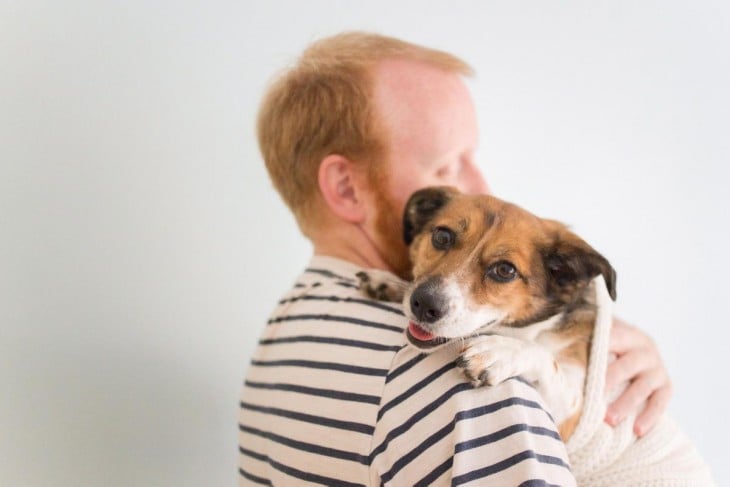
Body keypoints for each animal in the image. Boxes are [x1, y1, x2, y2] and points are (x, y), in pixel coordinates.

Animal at [358, 185, 616, 440]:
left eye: (504, 270)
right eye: (442, 237)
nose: (423, 303)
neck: (533, 330)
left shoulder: (572, 415)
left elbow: (545, 358)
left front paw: (500, 352)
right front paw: (387, 281)